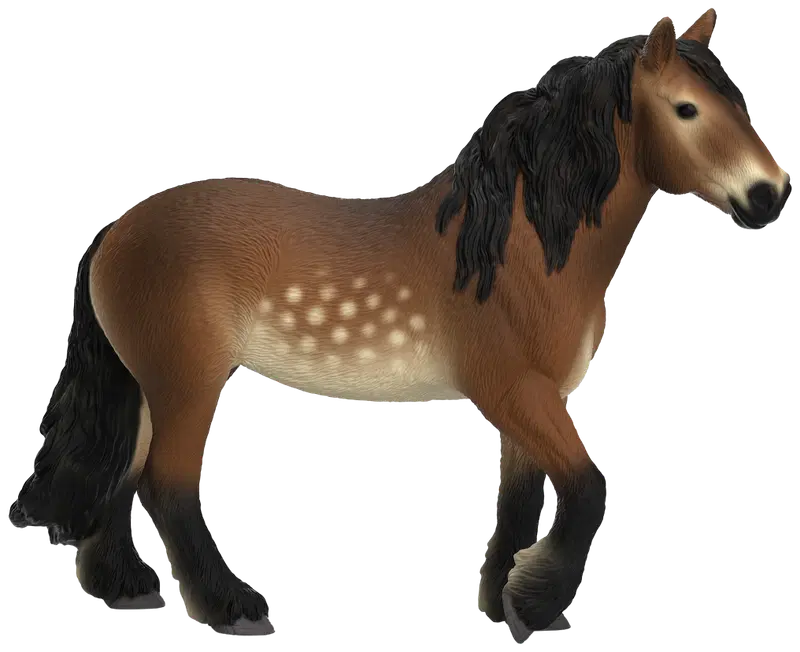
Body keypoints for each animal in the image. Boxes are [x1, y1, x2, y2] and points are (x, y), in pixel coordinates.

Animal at [7, 7, 790, 642]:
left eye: (739, 101)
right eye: (686, 109)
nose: (770, 194)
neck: (516, 249)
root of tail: (117, 230)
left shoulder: (531, 402)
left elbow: (520, 501)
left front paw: (503, 602)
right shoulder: (513, 390)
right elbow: (586, 487)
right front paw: (535, 604)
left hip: (147, 383)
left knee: (120, 473)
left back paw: (126, 590)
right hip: (187, 381)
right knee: (164, 484)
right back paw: (233, 607)